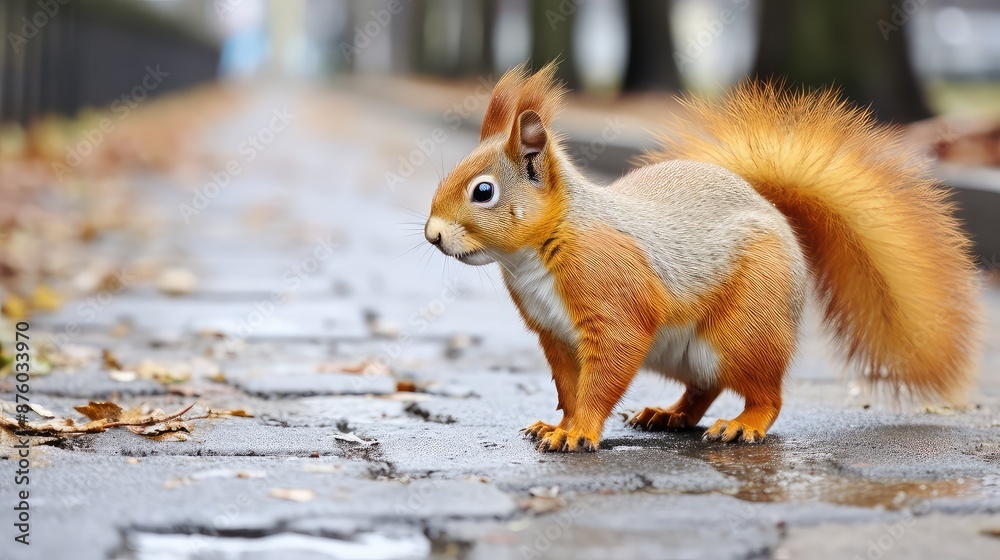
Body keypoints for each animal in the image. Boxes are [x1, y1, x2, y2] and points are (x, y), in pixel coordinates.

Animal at [423, 62, 982, 452]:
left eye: (483, 192)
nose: (432, 235)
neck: (537, 253)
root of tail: (771, 210)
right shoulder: (554, 335)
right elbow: (568, 384)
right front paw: (555, 423)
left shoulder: (610, 297)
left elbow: (603, 375)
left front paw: (579, 432)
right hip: (683, 352)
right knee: (703, 388)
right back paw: (668, 415)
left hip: (744, 331)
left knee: (766, 394)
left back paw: (742, 425)